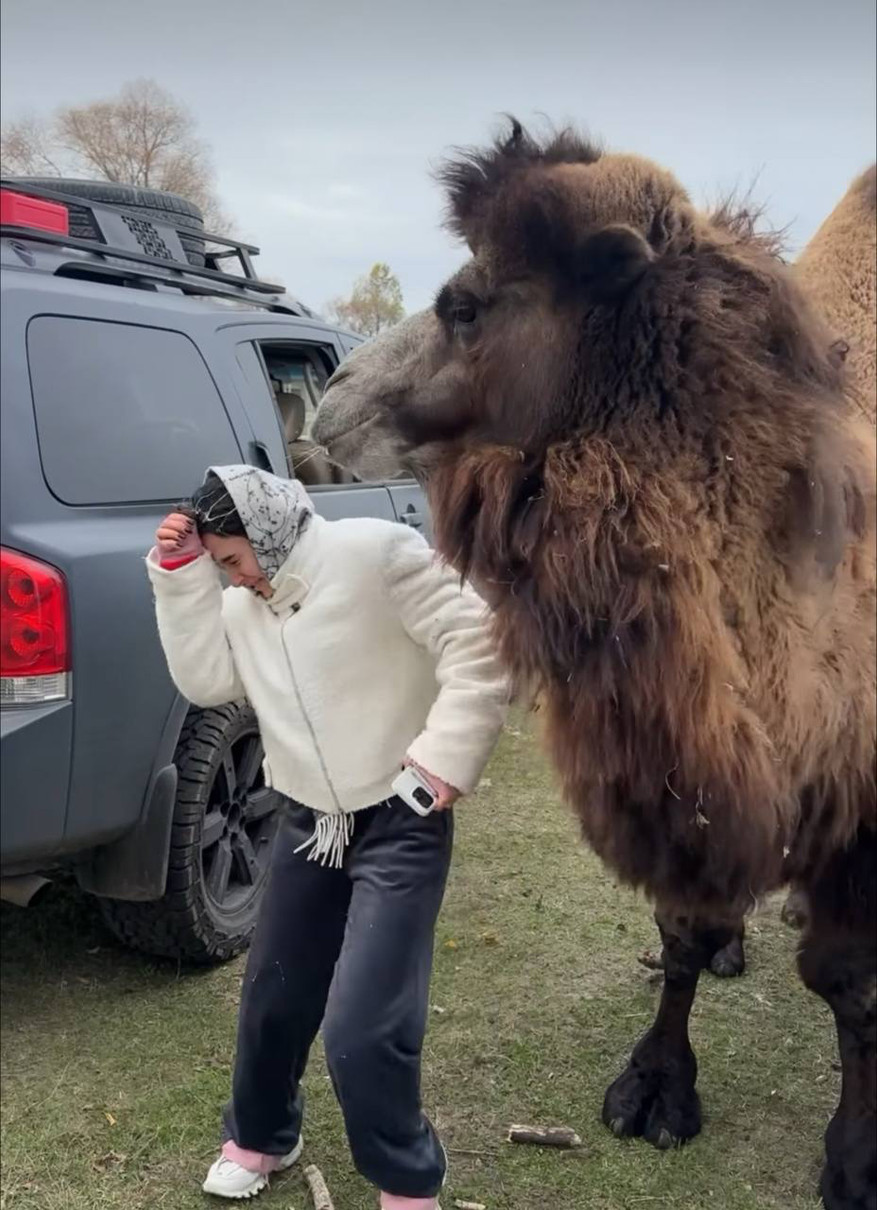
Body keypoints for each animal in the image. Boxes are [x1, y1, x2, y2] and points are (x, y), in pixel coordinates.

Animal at [312, 127, 875, 1205]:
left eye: (466, 303)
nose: (326, 407)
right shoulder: (684, 772)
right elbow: (682, 931)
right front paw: (654, 1087)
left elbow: (846, 982)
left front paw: (855, 1157)